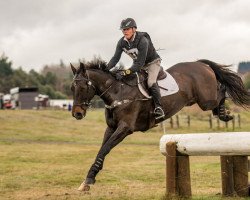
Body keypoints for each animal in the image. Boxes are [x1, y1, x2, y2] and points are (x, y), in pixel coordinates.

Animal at [70, 59, 250, 191]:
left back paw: (224, 114)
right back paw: (222, 113)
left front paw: (89, 179)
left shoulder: (125, 128)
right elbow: (102, 150)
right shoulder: (111, 128)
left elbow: (105, 148)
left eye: (83, 87)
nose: (77, 114)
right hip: (199, 100)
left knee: (222, 89)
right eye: (72, 88)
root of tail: (200, 63)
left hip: (206, 99)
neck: (117, 92)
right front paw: (88, 179)